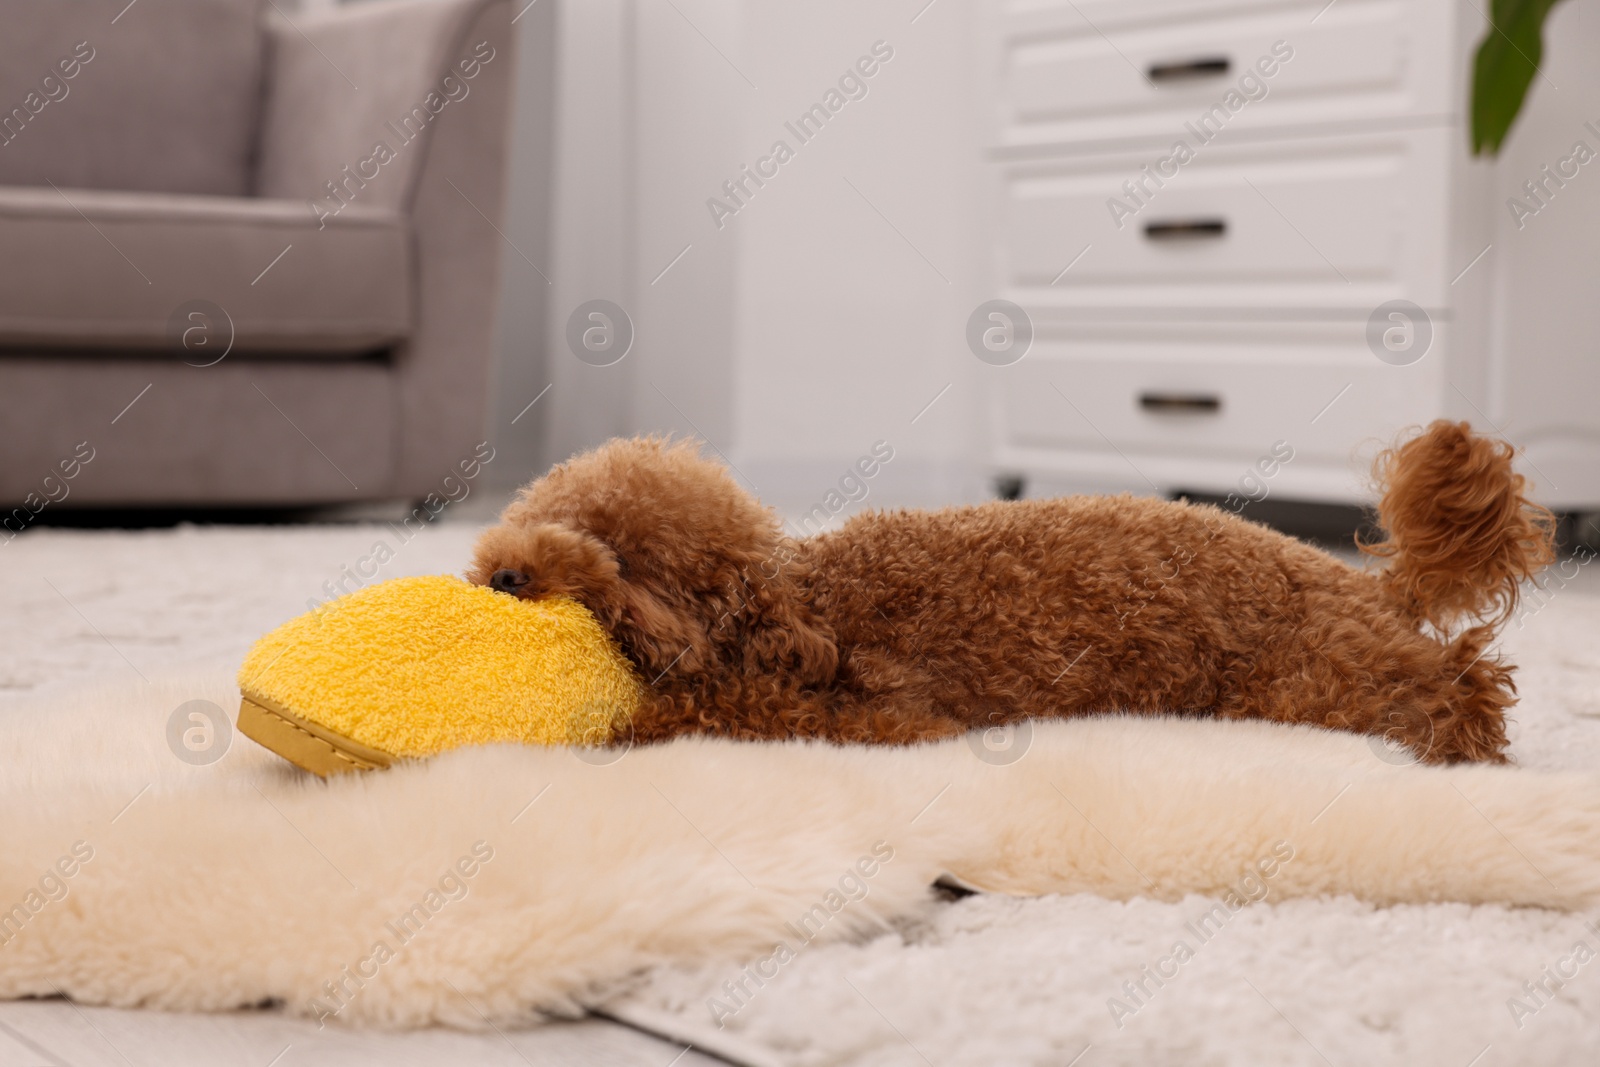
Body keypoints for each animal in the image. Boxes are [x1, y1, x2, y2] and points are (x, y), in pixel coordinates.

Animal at [467, 422, 1555, 764]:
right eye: (541, 511)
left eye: (621, 557)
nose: (506, 572)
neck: (803, 604)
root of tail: (1370, 585)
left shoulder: (884, 715)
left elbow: (704, 711)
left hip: (1313, 675)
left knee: (1464, 677)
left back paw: (1460, 730)